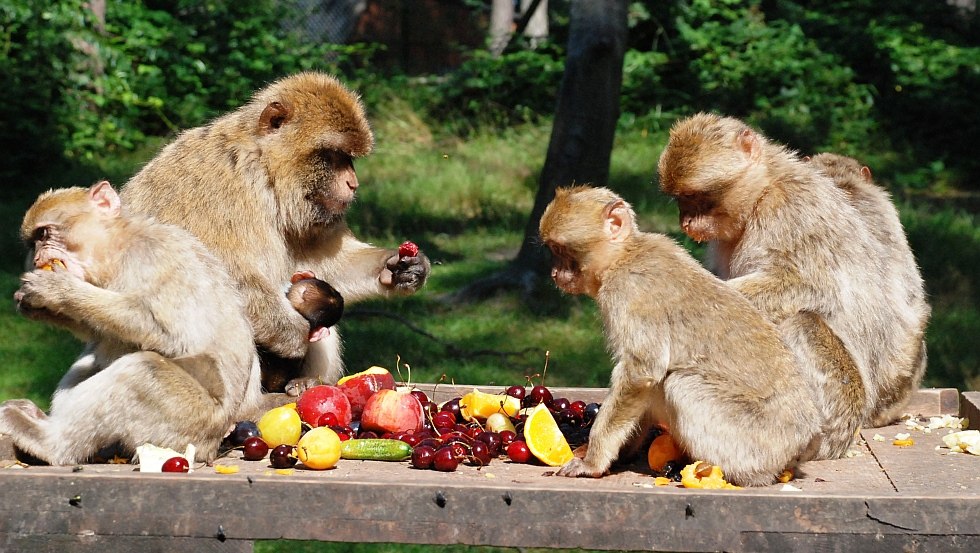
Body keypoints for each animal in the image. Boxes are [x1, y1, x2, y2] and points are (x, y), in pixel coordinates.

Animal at [544, 187, 820, 488]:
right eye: (552, 250)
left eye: (560, 249)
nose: (554, 273)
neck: (625, 256)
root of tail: (804, 441)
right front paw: (621, 452)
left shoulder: (629, 290)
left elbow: (642, 371)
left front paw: (593, 462)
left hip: (756, 441)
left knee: (678, 384)